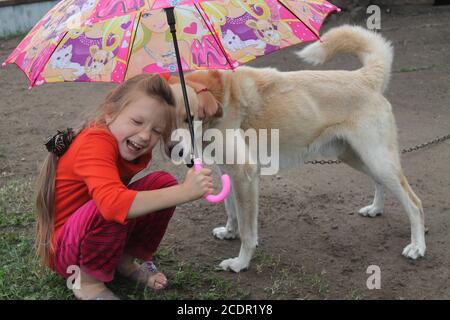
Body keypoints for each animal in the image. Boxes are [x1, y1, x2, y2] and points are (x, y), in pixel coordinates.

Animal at [175, 24, 426, 272]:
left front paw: (240, 263)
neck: (218, 98)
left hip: (378, 160)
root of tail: (363, 77)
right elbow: (231, 211)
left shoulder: (244, 175)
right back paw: (376, 208)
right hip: (357, 157)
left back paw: (417, 246)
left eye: (188, 118)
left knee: (415, 204)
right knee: (380, 183)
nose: (177, 152)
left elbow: (248, 232)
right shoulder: (228, 172)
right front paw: (229, 232)